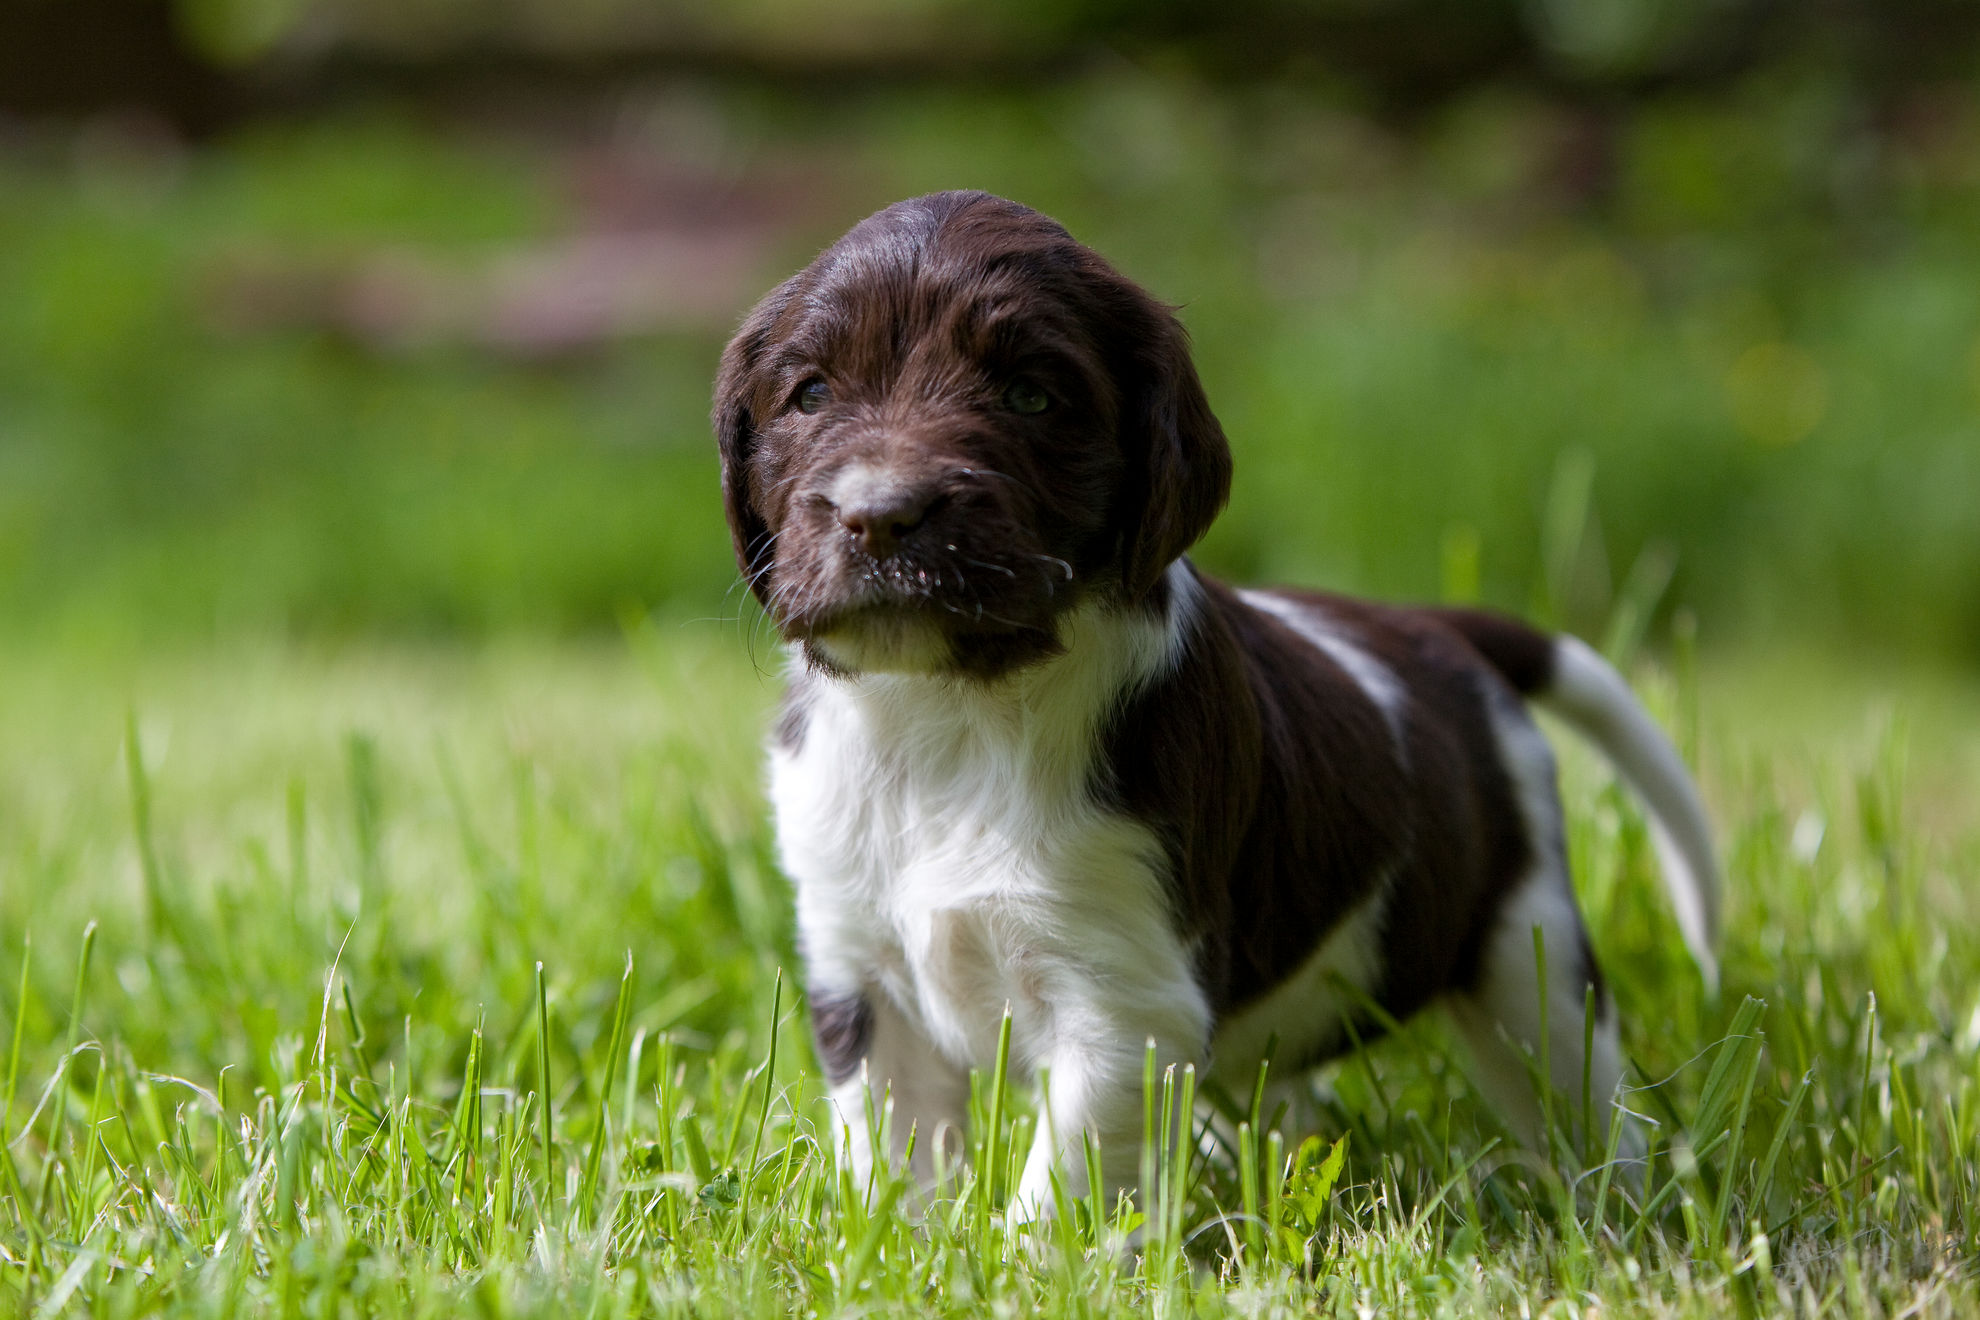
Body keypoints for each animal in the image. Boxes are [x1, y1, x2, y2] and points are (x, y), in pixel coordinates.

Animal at [712, 190, 1718, 1211]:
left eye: (1031, 395)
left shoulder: (1123, 1003)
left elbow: (1058, 1190)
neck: (948, 712)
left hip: (1528, 944)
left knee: (1591, 1105)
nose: (880, 515)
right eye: (811, 394)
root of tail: (1437, 634)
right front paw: (905, 1235)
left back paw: (1617, 1215)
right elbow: (894, 1167)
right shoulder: (861, 971)